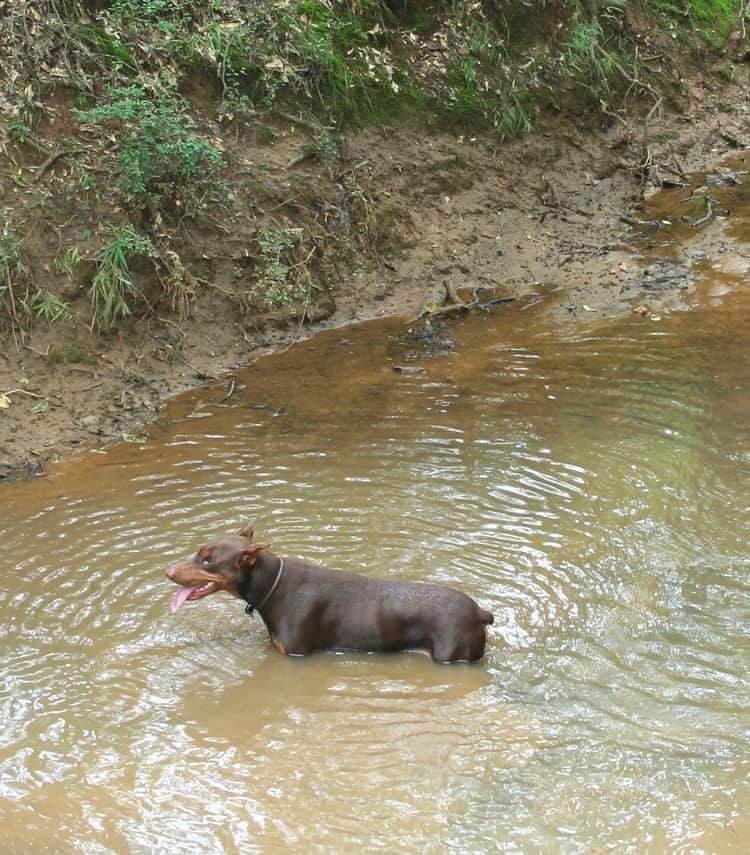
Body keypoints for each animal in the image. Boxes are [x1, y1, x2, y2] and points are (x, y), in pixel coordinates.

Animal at [165, 524, 494, 664]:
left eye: (208, 560)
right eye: (198, 552)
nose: (167, 571)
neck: (272, 588)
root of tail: (480, 613)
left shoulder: (297, 654)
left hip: (452, 654)